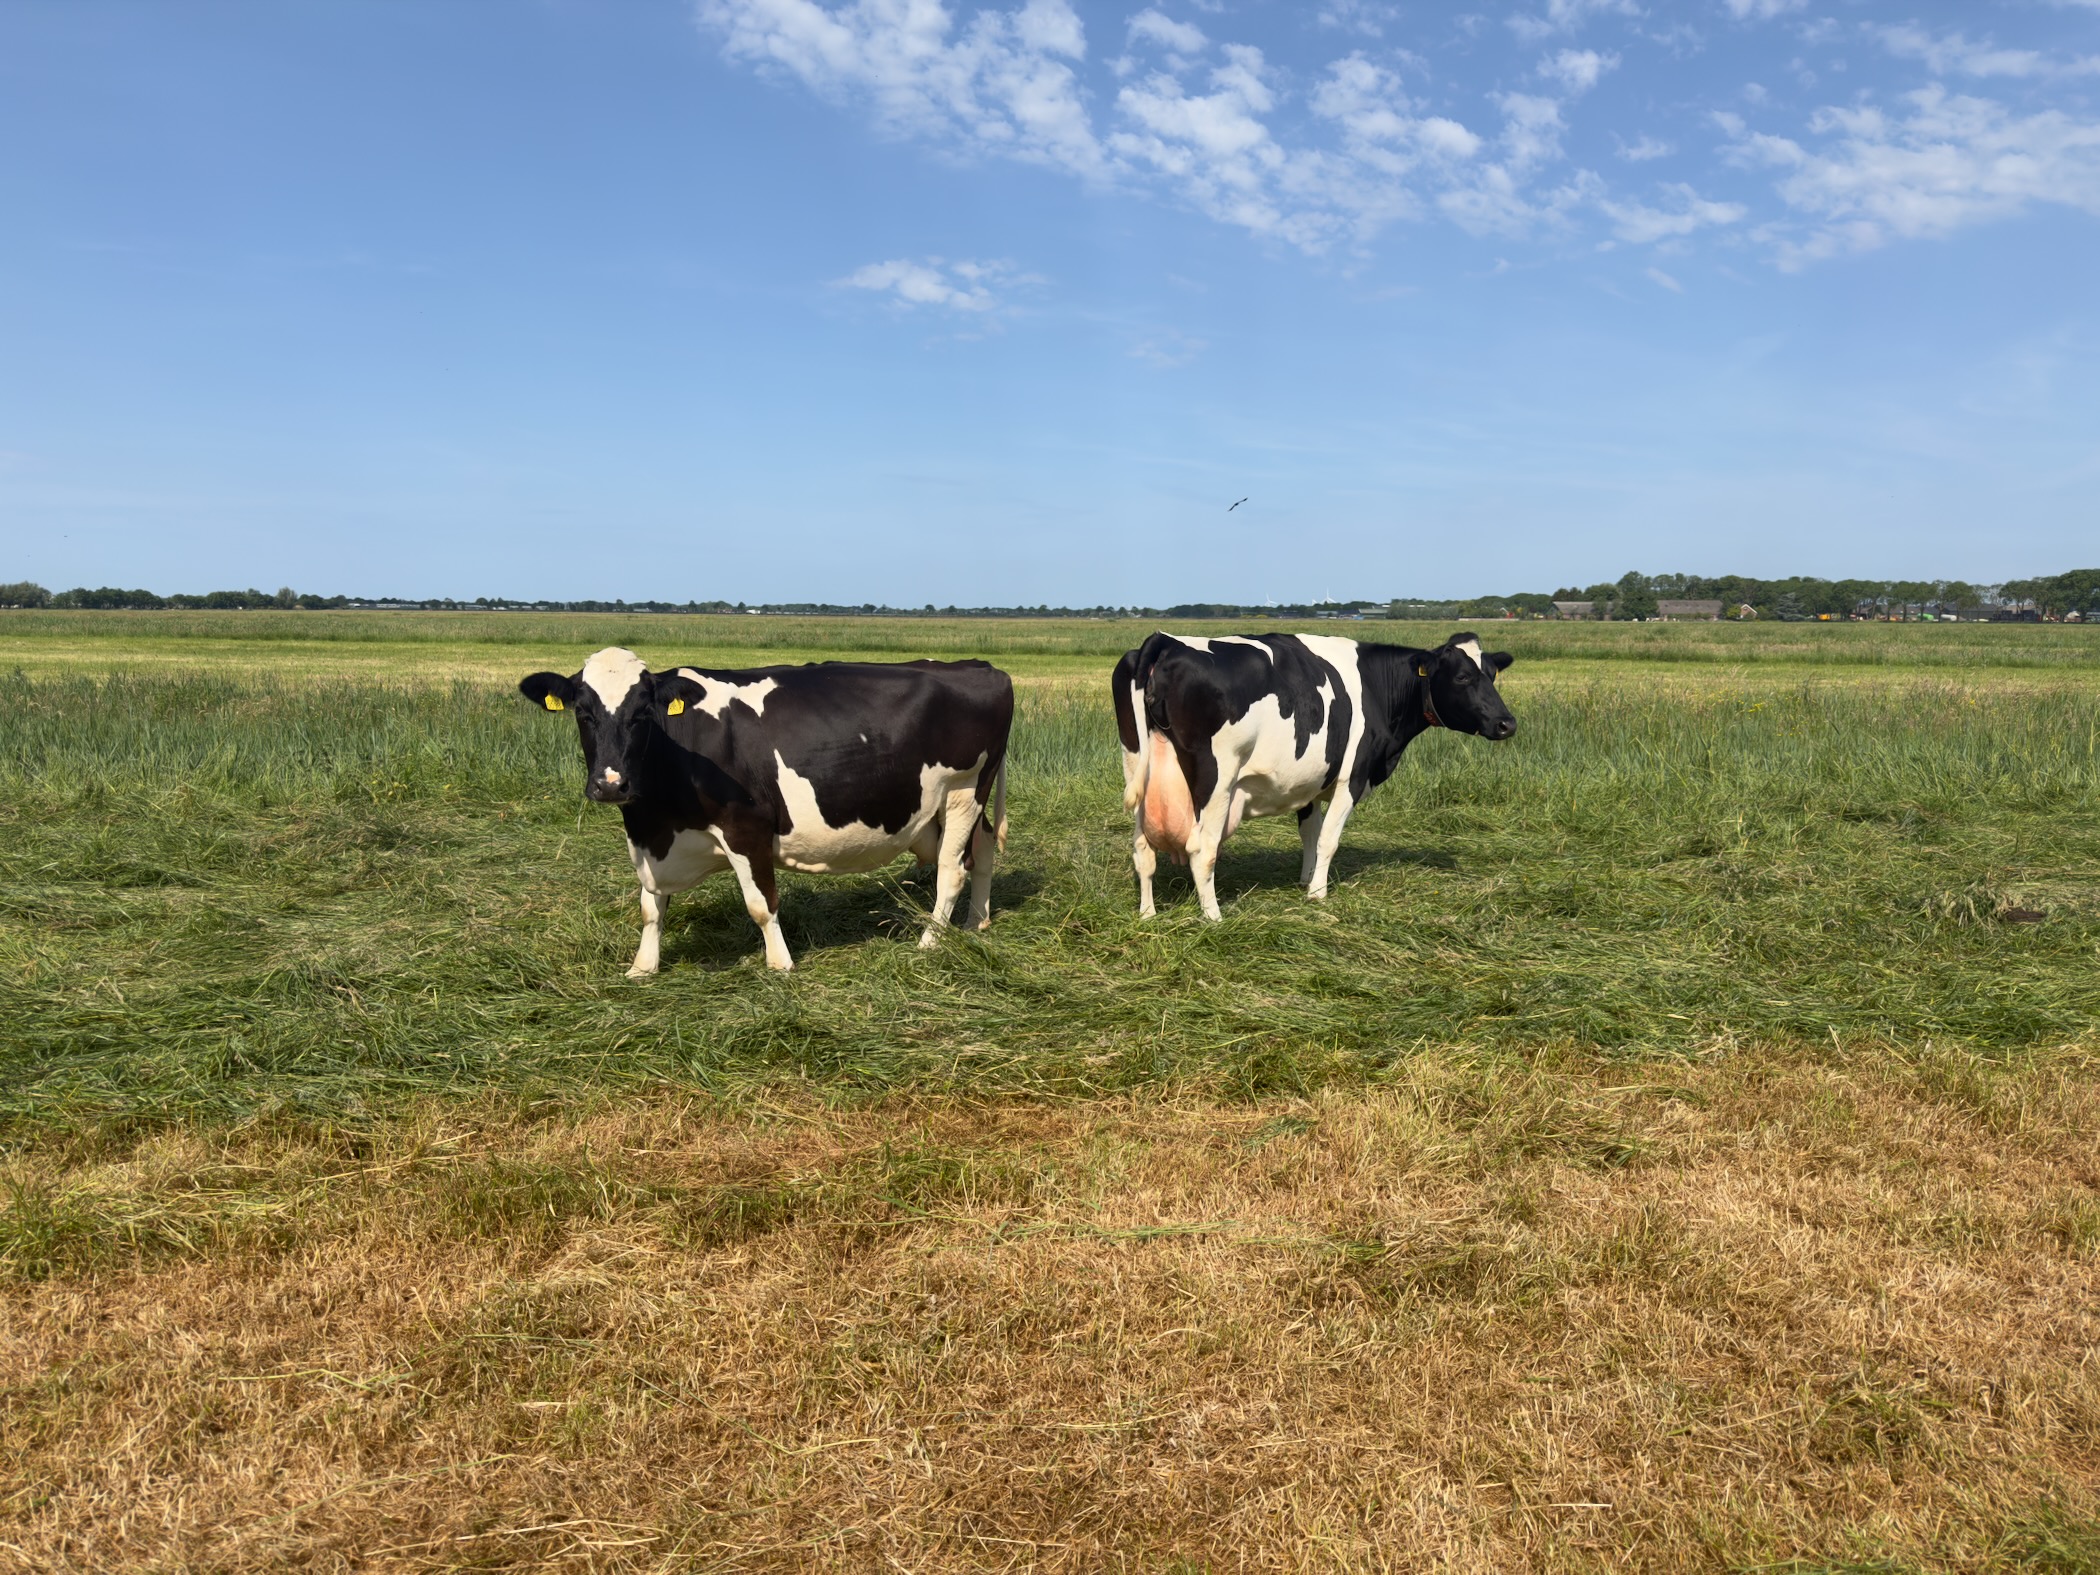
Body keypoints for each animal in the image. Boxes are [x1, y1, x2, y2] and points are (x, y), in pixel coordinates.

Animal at [520, 648, 1012, 975]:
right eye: (583, 713)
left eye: (642, 713)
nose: (611, 784)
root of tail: (979, 666)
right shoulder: (651, 841)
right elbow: (650, 907)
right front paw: (642, 968)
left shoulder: (746, 826)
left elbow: (761, 904)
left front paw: (780, 965)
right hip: (953, 806)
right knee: (984, 848)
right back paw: (977, 922)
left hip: (964, 789)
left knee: (953, 868)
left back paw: (931, 941)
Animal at [1111, 631, 1515, 919]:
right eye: (1462, 676)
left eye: (1492, 674)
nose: (1506, 723)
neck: (1377, 687)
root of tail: (1166, 641)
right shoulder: (1352, 778)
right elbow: (1328, 840)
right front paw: (1317, 894)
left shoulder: (1310, 781)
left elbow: (1309, 831)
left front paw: (1305, 879)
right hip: (1216, 780)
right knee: (1201, 850)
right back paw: (1213, 917)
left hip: (1138, 767)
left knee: (1143, 848)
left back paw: (1147, 914)